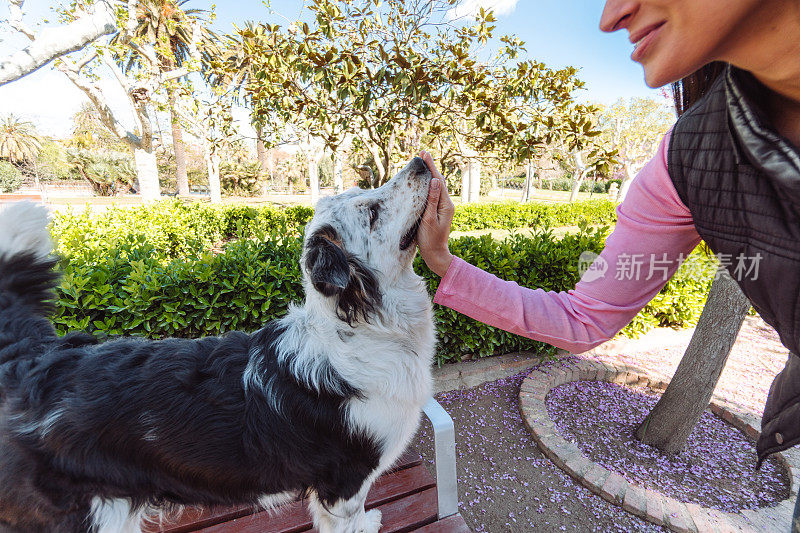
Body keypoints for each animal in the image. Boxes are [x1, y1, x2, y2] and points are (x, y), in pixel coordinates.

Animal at [0, 158, 438, 532]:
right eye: (372, 212)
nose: (421, 162)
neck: (365, 329)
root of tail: (36, 363)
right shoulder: (345, 480)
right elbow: (349, 516)